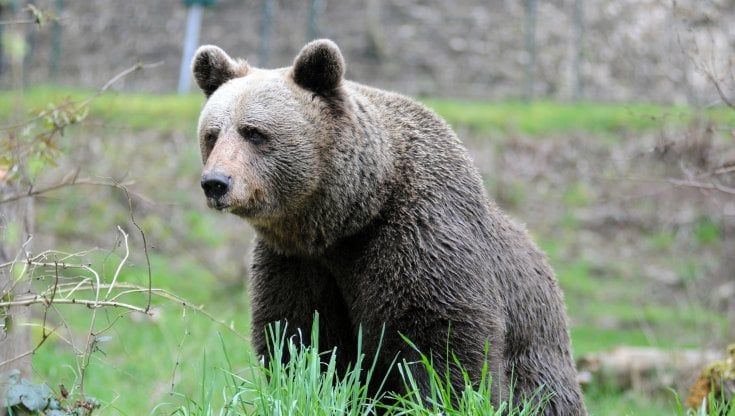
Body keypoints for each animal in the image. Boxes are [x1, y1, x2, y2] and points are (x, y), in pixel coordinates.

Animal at [191, 39, 587, 415]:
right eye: (212, 134)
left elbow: (440, 341)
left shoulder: (419, 237)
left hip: (538, 361)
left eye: (254, 133)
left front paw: (437, 399)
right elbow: (300, 339)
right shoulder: (296, 263)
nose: (215, 183)